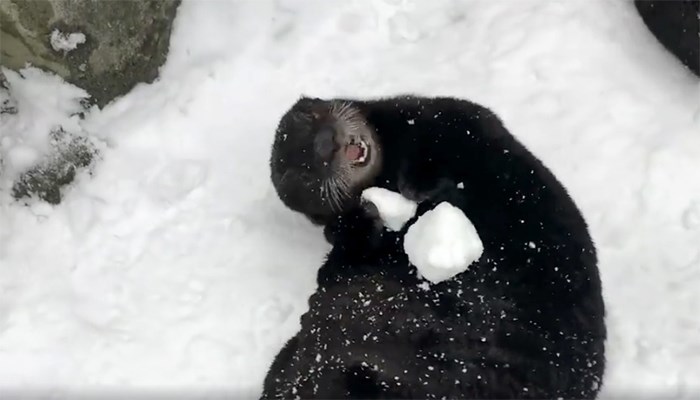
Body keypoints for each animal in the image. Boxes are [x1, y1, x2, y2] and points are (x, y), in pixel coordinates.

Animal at [264, 95, 608, 398]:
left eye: (312, 117)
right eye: (303, 170)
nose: (327, 142)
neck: (387, 175)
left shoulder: (451, 118)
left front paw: (423, 188)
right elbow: (335, 266)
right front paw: (369, 214)